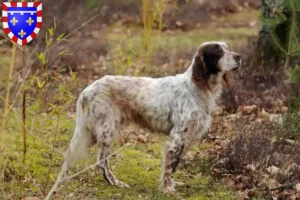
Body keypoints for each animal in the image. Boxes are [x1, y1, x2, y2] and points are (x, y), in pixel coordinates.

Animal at [52, 41, 241, 195]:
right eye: (218, 51)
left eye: (226, 48)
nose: (239, 56)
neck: (198, 88)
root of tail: (87, 90)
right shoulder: (177, 138)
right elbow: (170, 166)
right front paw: (168, 189)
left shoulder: (187, 137)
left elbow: (174, 165)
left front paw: (172, 184)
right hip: (107, 130)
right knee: (101, 162)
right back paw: (115, 182)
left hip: (91, 132)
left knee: (71, 154)